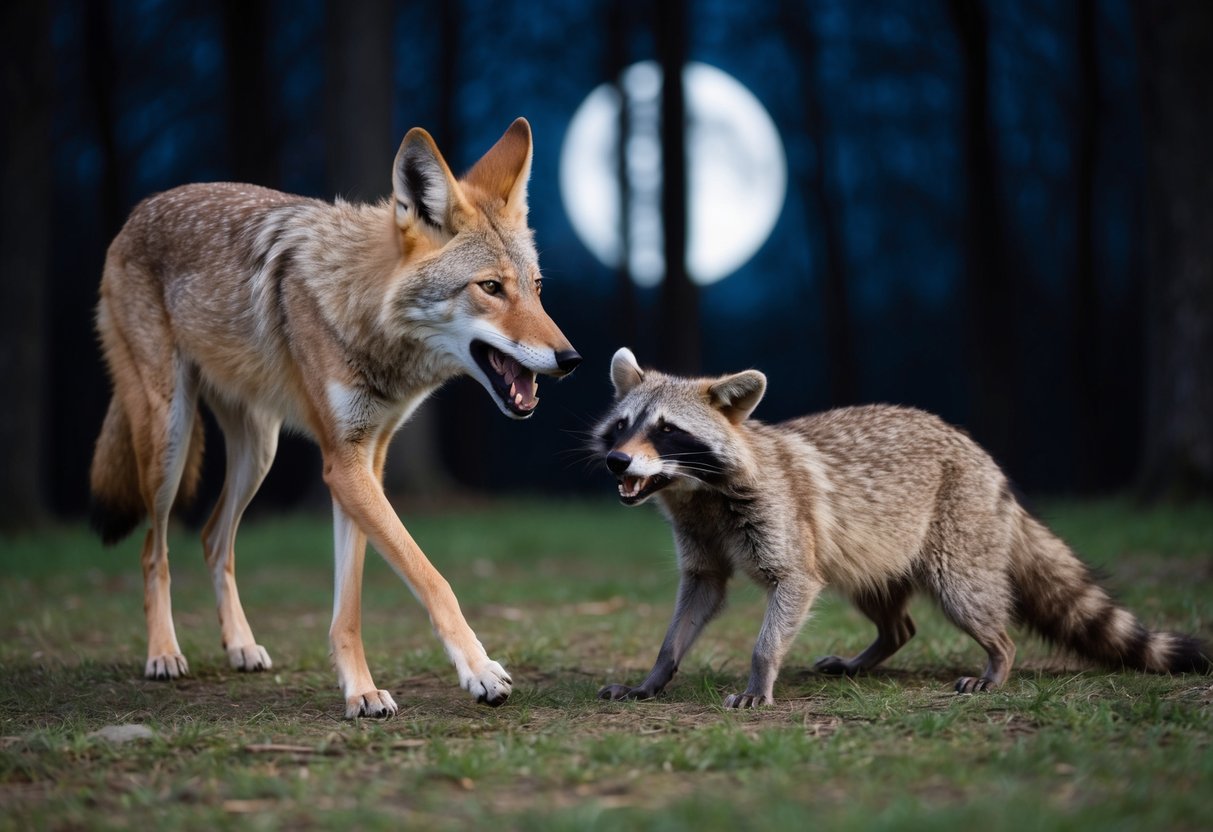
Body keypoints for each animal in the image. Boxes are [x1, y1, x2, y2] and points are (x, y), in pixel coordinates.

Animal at [595, 348, 1210, 707]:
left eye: (667, 430)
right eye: (623, 426)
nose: (618, 463)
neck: (693, 491)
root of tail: (989, 464)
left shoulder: (781, 523)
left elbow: (787, 596)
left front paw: (760, 675)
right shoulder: (701, 543)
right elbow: (696, 602)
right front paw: (657, 673)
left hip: (958, 533)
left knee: (970, 599)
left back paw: (999, 656)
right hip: (870, 554)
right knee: (896, 619)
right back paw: (880, 646)